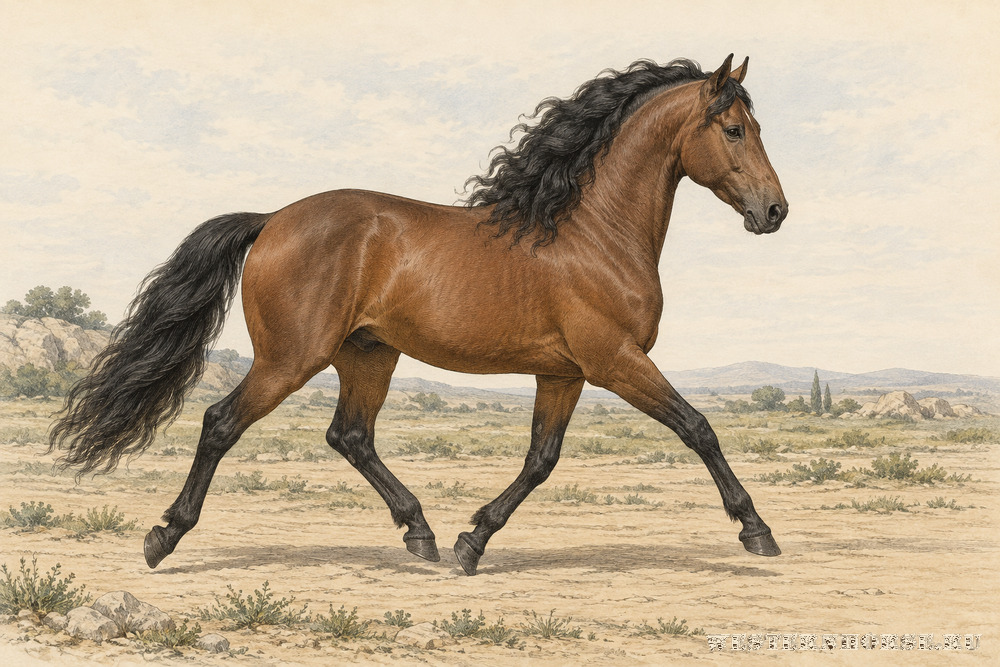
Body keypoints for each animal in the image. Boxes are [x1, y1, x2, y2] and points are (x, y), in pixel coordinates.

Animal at [50, 55, 787, 576]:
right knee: (221, 423)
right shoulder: (616, 361)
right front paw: (757, 531)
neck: (589, 232)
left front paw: (471, 542)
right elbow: (699, 428)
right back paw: (162, 537)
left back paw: (422, 533)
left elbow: (540, 459)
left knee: (350, 435)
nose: (775, 211)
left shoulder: (565, 373)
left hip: (368, 353)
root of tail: (272, 219)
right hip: (290, 358)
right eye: (733, 129)